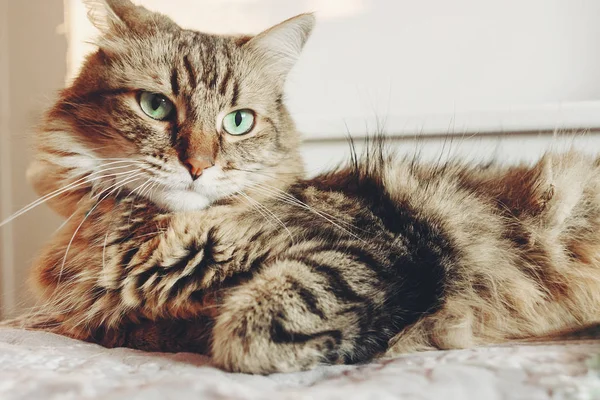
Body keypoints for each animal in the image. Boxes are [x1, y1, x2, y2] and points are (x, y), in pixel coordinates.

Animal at [4, 0, 600, 376]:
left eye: (238, 122)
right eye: (155, 106)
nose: (197, 166)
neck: (154, 232)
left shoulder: (375, 246)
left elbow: (248, 333)